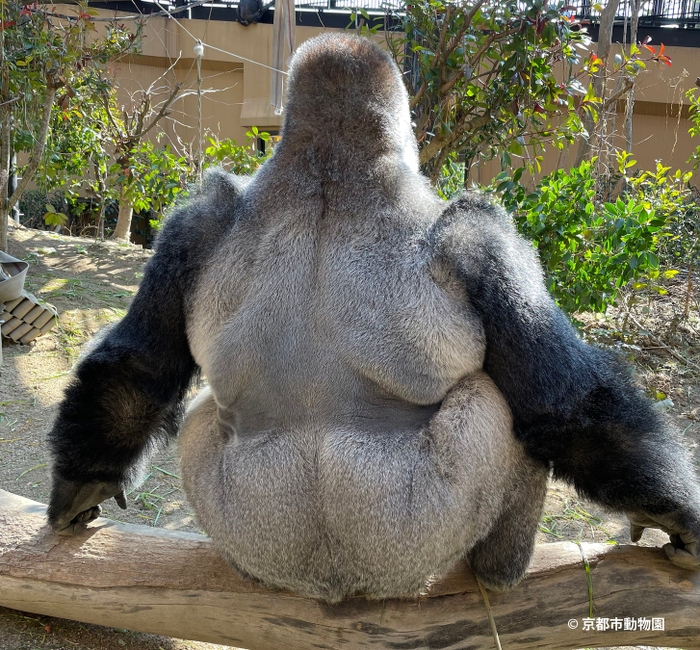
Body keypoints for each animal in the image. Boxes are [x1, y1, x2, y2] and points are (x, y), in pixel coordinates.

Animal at [46, 33, 696, 600]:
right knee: (495, 406)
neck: (327, 166)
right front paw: (680, 514)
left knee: (197, 413)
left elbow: (139, 367)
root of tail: (330, 584)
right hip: (408, 545)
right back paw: (501, 571)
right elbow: (566, 405)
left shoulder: (192, 222)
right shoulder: (481, 232)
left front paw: (82, 482)